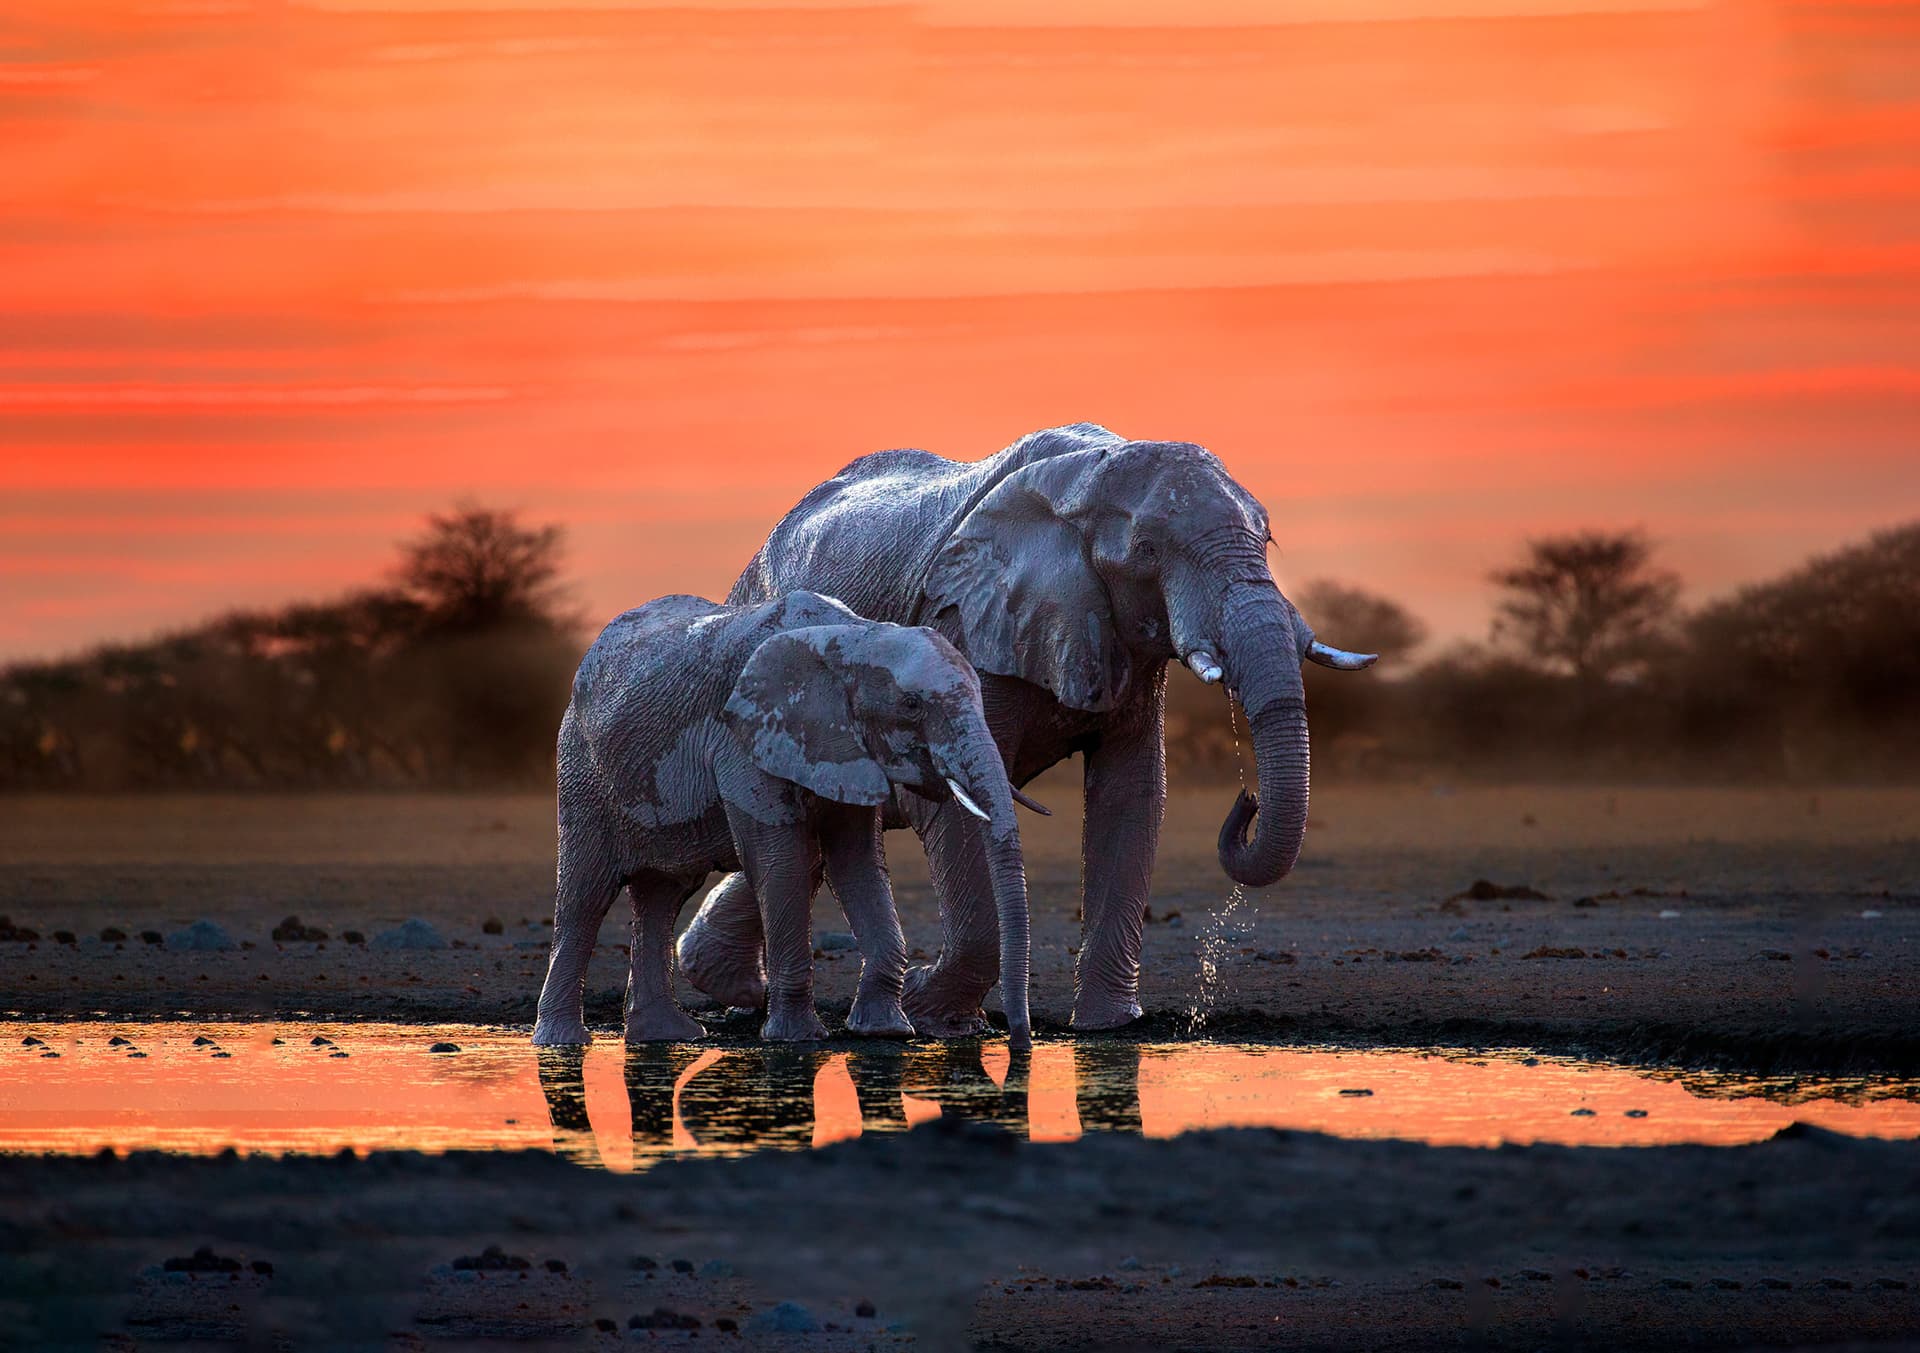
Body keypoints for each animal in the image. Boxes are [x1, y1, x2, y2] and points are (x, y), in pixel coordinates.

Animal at [531, 589, 1040, 1048]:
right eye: (912, 704)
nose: (1019, 1042)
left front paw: (886, 1031)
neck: (854, 636)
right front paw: (797, 1039)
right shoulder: (745, 737)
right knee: (585, 896)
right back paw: (562, 1044)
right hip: (581, 771)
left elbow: (858, 863)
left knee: (663, 894)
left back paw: (665, 1037)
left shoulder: (845, 747)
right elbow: (783, 863)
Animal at [678, 423, 1375, 1034]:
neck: (1090, 476)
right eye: (1147, 552)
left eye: (1268, 539)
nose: (1247, 801)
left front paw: (1108, 1028)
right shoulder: (963, 624)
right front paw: (936, 1015)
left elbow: (1131, 796)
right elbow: (960, 807)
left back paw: (728, 985)